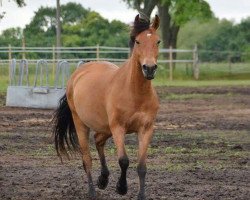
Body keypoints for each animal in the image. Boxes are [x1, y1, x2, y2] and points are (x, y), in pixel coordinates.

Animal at [53, 14, 161, 199]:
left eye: (158, 41)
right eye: (138, 41)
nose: (149, 68)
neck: (134, 92)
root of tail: (77, 74)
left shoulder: (146, 129)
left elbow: (142, 166)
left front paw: (140, 195)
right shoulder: (118, 127)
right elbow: (124, 160)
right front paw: (121, 188)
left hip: (105, 127)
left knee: (98, 140)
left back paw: (103, 180)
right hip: (81, 123)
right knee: (87, 159)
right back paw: (92, 191)